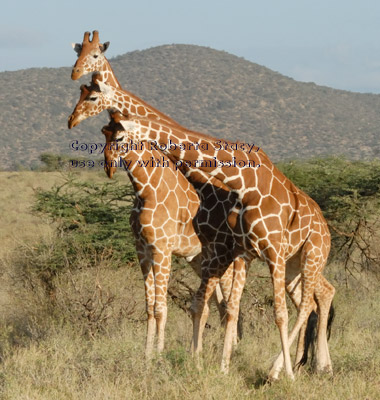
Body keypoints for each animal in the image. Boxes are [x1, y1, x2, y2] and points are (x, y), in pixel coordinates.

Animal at [67, 73, 334, 376]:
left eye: (92, 97)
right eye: (104, 132)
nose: (71, 120)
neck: (244, 182)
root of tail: (326, 227)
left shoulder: (252, 250)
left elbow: (273, 313)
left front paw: (163, 359)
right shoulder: (234, 253)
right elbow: (219, 308)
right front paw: (215, 366)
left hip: (309, 255)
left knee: (306, 303)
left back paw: (288, 369)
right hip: (291, 265)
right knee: (314, 297)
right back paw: (317, 364)